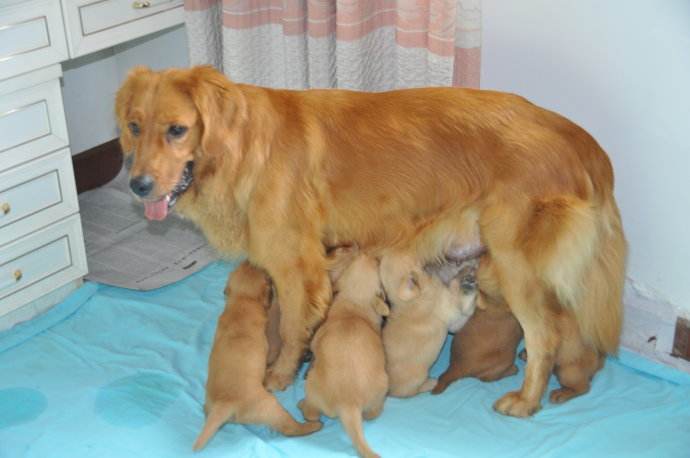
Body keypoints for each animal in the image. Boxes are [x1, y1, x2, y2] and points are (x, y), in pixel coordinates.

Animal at [193, 262, 320, 451]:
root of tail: (225, 404)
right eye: (265, 276)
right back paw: (312, 426)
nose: (249, 260)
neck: (242, 302)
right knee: (289, 428)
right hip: (270, 406)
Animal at [298, 252, 389, 458]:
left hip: (312, 388)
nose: (372, 255)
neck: (354, 303)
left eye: (375, 263)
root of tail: (349, 404)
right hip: (382, 387)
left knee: (312, 413)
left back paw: (301, 405)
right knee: (373, 413)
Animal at [379, 251, 478, 397]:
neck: (413, 300)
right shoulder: (453, 317)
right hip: (418, 378)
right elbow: (458, 293)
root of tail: (389, 392)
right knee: (414, 391)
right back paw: (430, 383)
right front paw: (466, 280)